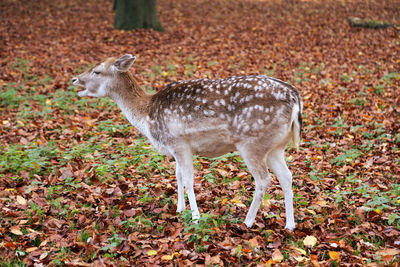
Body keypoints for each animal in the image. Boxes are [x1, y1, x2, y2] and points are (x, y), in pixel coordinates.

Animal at [72, 55, 304, 232]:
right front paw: (179, 209)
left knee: (263, 179)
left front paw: (196, 217)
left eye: (97, 71)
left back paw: (247, 221)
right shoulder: (176, 147)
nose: (74, 79)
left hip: (251, 143)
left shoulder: (180, 143)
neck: (146, 116)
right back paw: (290, 225)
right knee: (287, 176)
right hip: (275, 147)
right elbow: (178, 176)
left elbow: (189, 180)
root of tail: (295, 99)